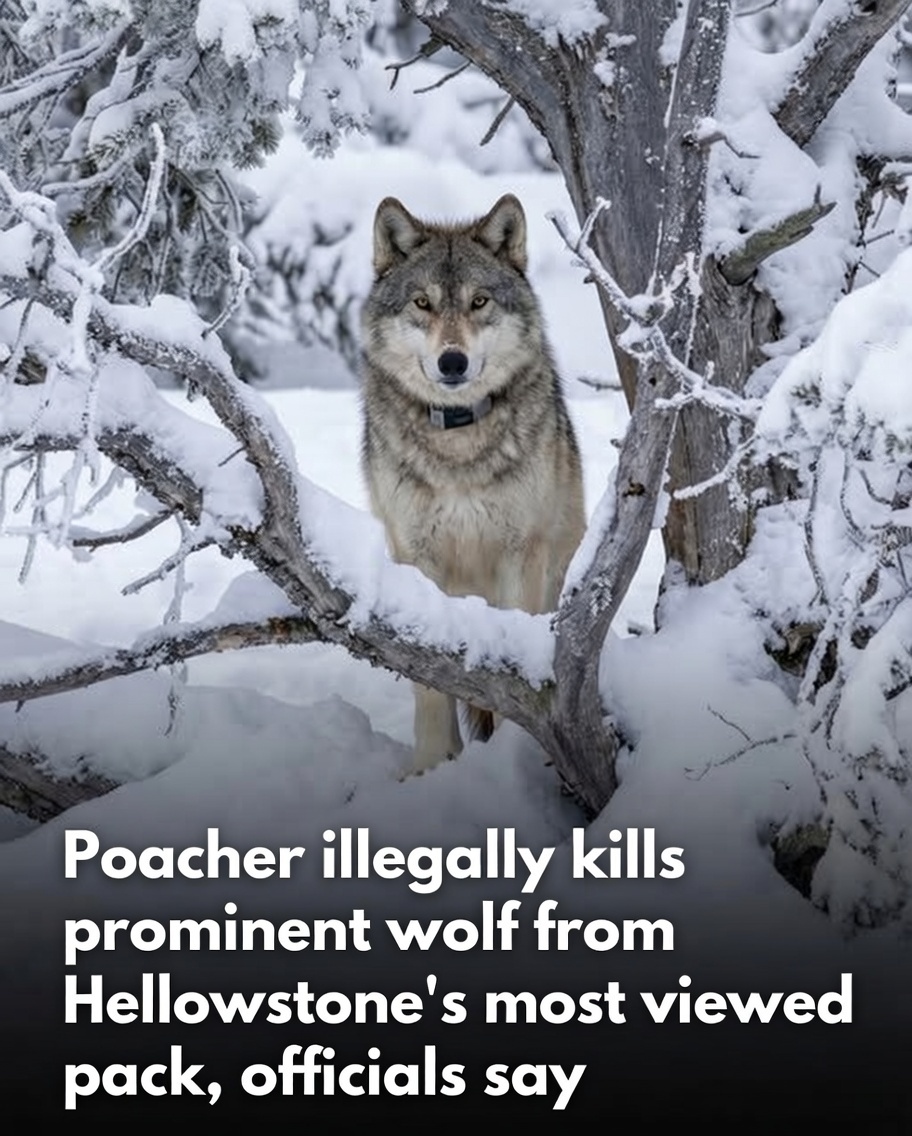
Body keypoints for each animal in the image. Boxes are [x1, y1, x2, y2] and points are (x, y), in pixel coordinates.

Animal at [359, 193, 586, 773]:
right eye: (422, 303)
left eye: (479, 301)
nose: (453, 361)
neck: (458, 439)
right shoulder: (418, 556)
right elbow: (431, 688)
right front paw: (431, 767)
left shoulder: (520, 556)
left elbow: (514, 671)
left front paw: (512, 760)